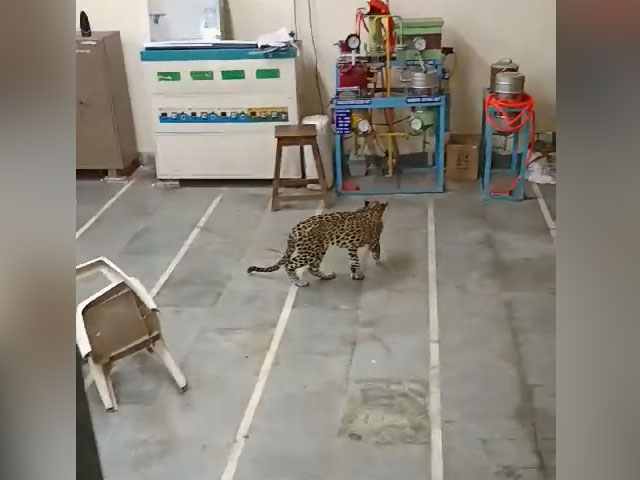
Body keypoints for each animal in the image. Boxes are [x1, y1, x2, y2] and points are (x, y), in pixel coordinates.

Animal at [247, 200, 388, 287]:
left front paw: (355, 274)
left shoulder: (351, 247)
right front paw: (376, 258)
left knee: (312, 267)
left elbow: (354, 261)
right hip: (309, 252)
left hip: (319, 249)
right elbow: (377, 249)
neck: (370, 210)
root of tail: (293, 230)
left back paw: (326, 276)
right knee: (289, 264)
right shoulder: (374, 240)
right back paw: (298, 282)